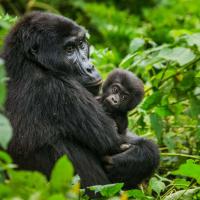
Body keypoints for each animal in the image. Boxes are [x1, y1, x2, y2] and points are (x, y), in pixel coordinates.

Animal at [3, 11, 159, 188]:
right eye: (69, 49)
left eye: (82, 44)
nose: (90, 67)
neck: (27, 62)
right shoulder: (58, 90)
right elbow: (114, 141)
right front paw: (139, 157)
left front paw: (137, 159)